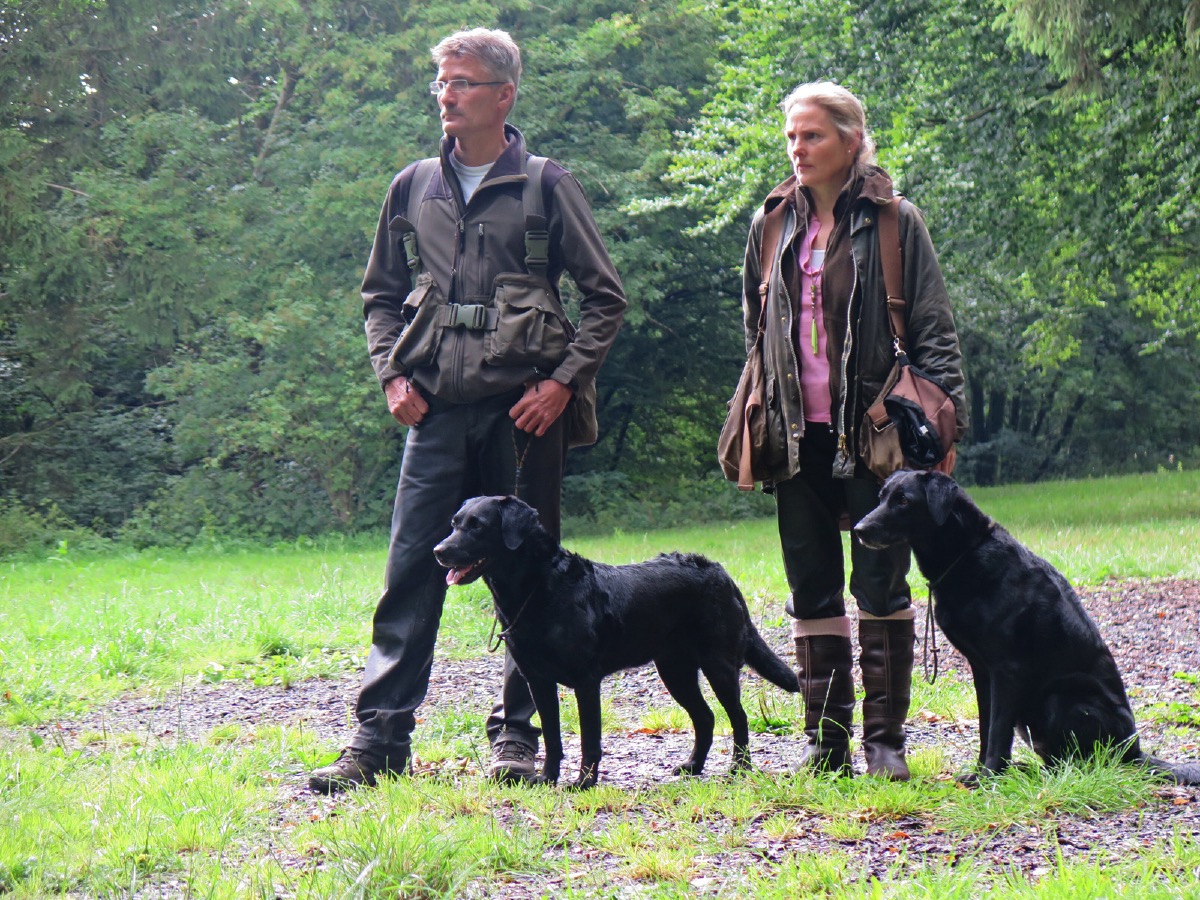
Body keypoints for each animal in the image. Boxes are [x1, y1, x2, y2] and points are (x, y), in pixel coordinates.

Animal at [433, 495, 800, 788]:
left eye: (477, 526)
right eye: (453, 524)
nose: (438, 551)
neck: (538, 588)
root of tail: (721, 573)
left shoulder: (586, 681)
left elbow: (590, 739)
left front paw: (583, 782)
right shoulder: (538, 680)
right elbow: (552, 737)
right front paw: (546, 779)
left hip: (718, 664)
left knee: (738, 717)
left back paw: (739, 768)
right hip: (675, 670)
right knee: (706, 717)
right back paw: (693, 766)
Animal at [853, 469, 1200, 785]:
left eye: (903, 501)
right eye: (882, 497)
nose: (858, 529)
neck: (966, 552)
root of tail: (1135, 751)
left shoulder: (1008, 671)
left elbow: (997, 731)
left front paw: (989, 777)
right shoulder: (983, 672)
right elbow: (986, 726)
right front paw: (982, 772)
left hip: (1060, 699)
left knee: (1082, 762)